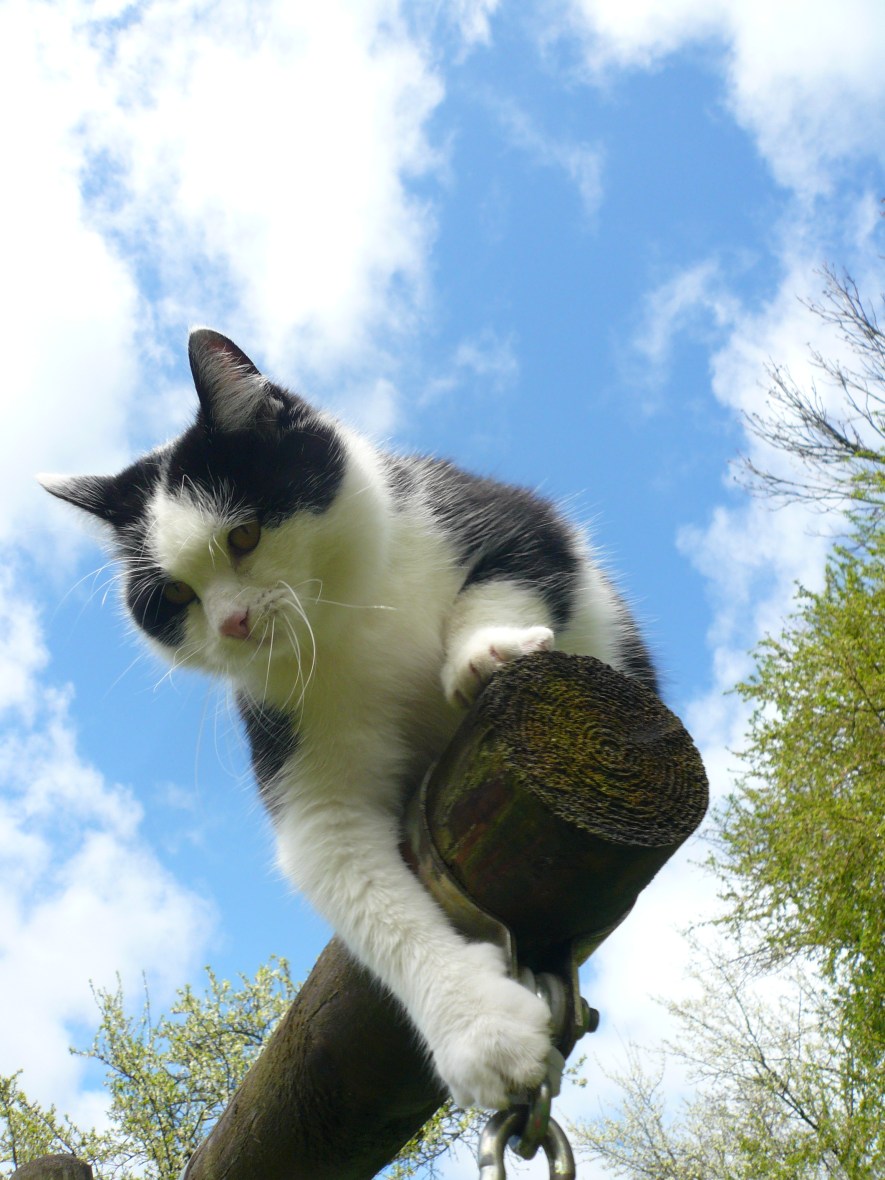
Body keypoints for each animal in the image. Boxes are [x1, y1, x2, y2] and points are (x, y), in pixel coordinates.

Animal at [40, 328, 657, 1110]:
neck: (349, 617)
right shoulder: (296, 752)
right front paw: (482, 1034)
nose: (233, 622)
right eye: (176, 595)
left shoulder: (507, 516)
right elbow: (362, 890)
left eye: (244, 536)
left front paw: (483, 652)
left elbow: (514, 565)